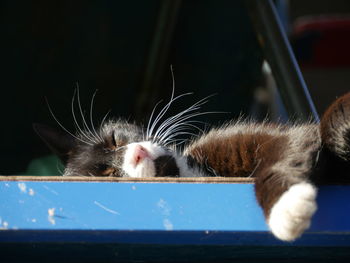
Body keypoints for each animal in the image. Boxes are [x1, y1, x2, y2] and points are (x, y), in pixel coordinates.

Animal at [33, 92, 350, 242]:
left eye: (114, 140)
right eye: (110, 176)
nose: (137, 154)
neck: (191, 171)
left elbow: (290, 143)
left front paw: (286, 205)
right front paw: (288, 210)